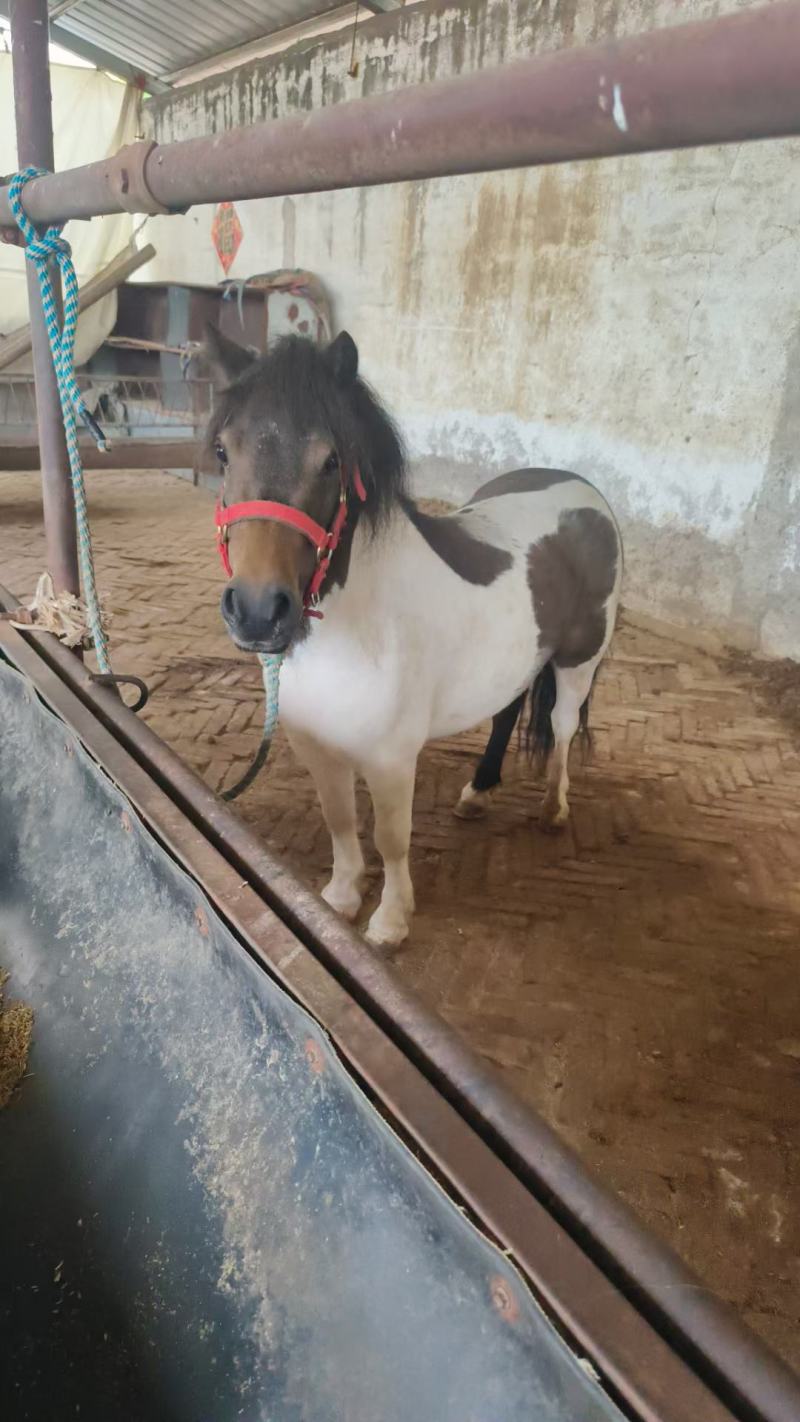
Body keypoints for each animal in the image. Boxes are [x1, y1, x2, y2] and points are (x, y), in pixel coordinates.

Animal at [205, 326, 622, 947]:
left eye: (331, 460)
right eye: (223, 451)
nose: (257, 611)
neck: (355, 631)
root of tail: (582, 490)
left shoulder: (392, 759)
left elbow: (391, 839)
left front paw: (390, 921)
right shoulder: (316, 748)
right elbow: (340, 819)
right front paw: (341, 897)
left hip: (579, 662)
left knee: (563, 727)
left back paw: (553, 809)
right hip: (519, 663)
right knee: (507, 713)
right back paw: (478, 793)